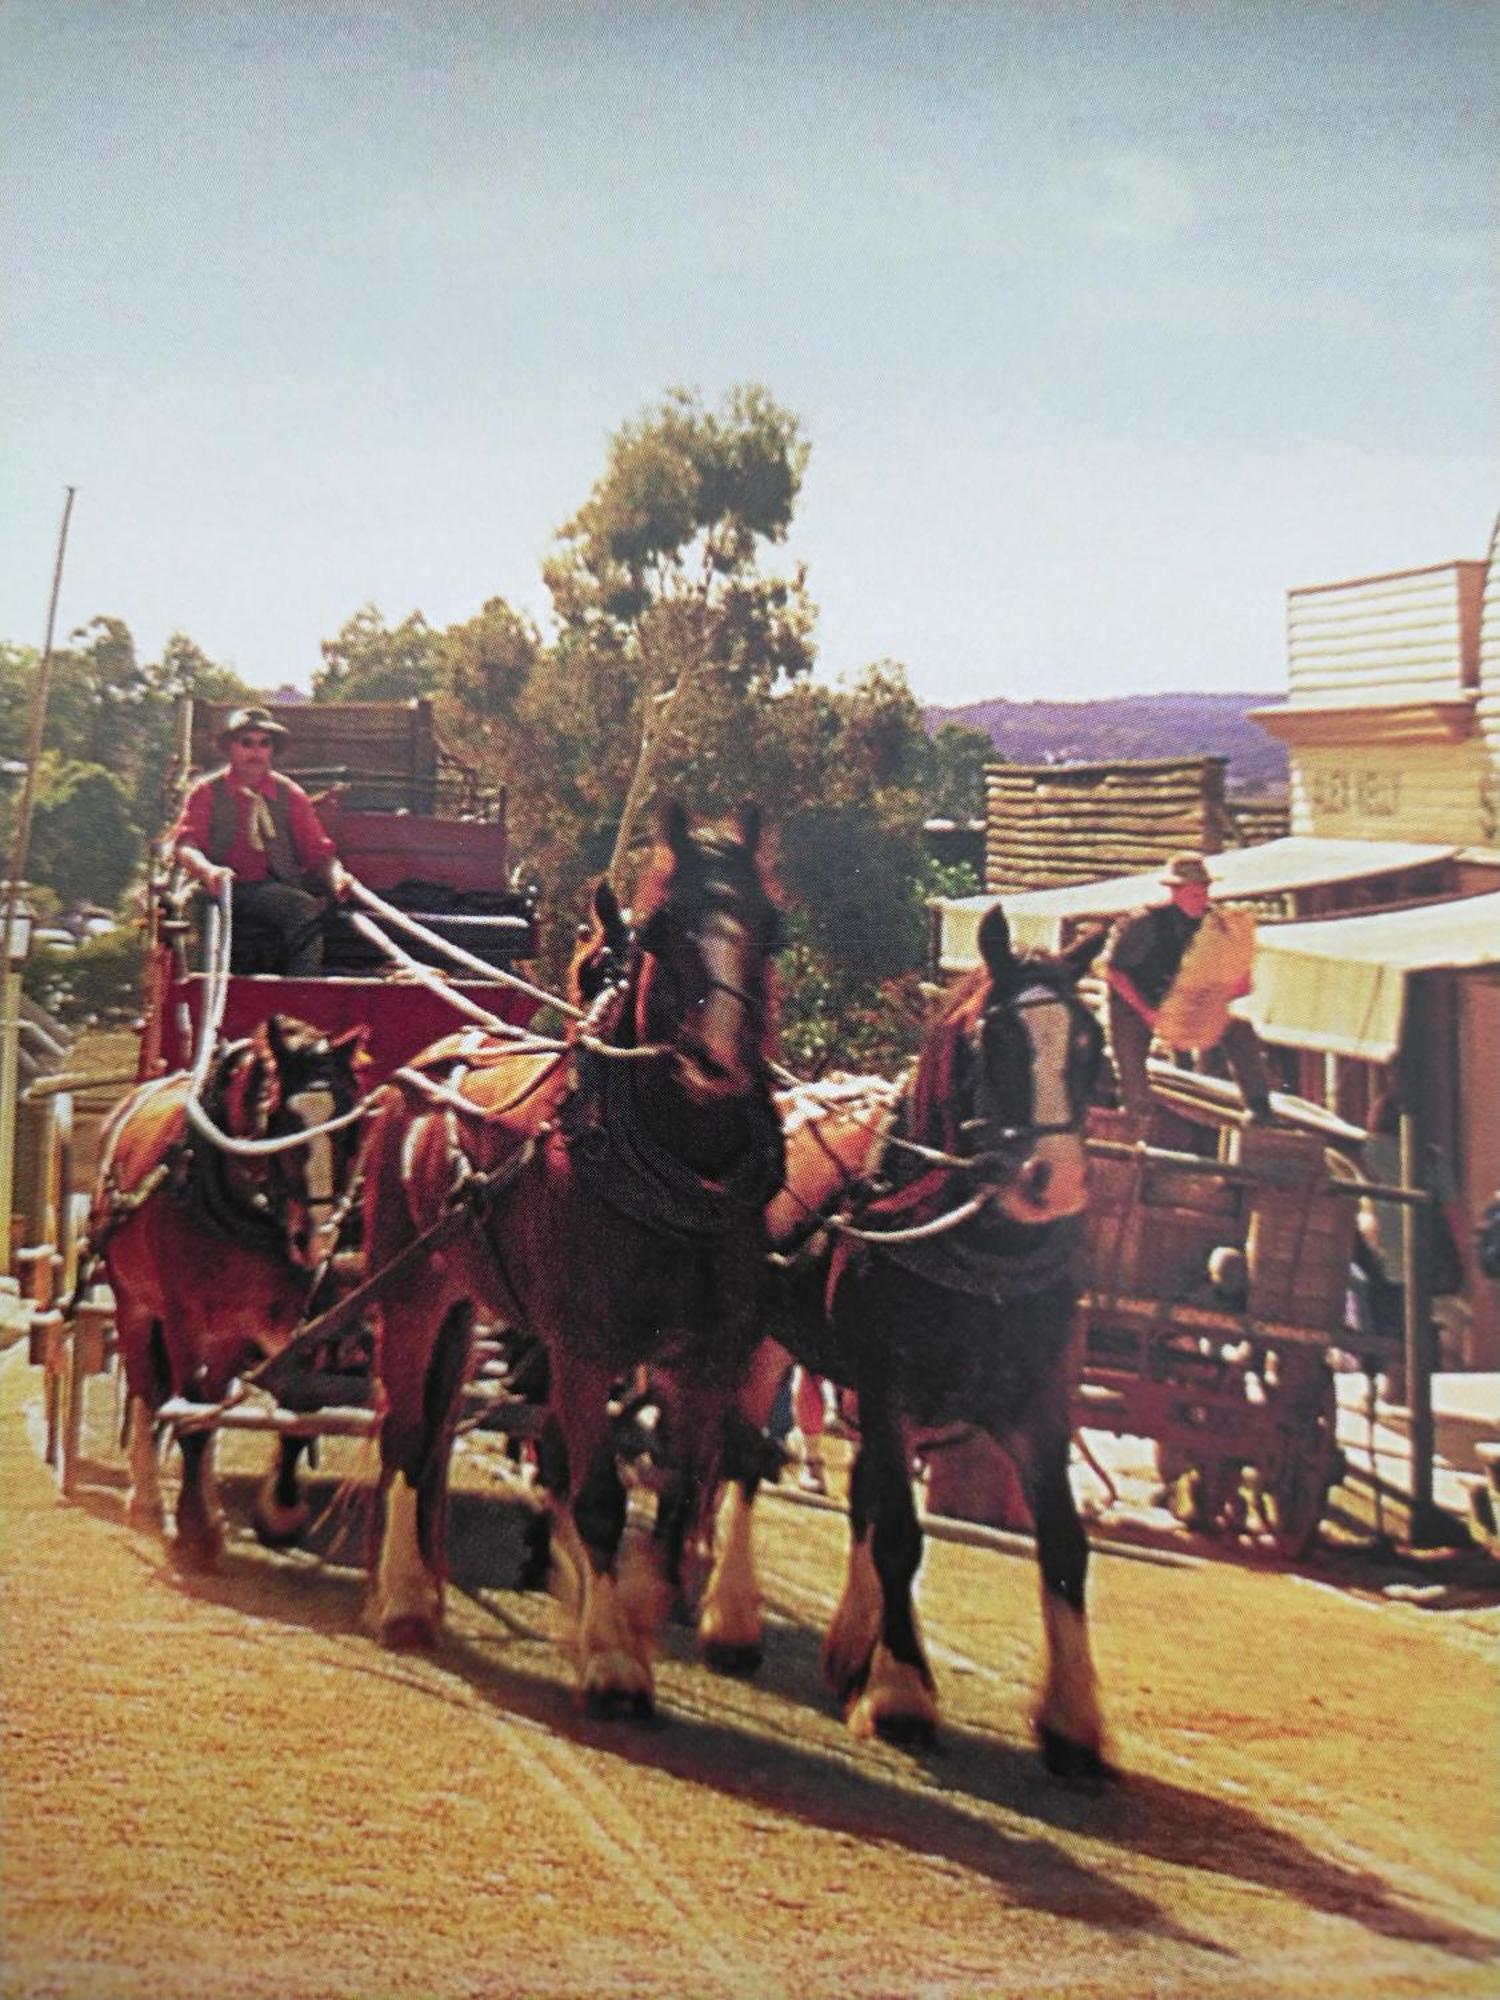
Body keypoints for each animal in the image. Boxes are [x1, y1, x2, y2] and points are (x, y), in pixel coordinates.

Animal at [92, 1024, 370, 1568]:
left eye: (349, 1126)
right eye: (281, 1122)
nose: (320, 1241)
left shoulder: (277, 1320)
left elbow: (297, 1403)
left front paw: (279, 1511)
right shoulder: (184, 1320)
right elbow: (190, 1415)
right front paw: (194, 1533)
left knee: (214, 1398)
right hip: (135, 1306)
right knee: (148, 1391)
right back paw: (148, 1501)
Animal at [368, 804, 788, 1712]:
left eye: (772, 928)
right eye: (664, 928)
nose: (718, 1057)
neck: (681, 1176)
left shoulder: (706, 1359)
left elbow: (679, 1497)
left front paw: (644, 1610)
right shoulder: (585, 1351)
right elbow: (596, 1497)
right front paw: (610, 1656)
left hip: (459, 1297)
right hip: (409, 1289)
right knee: (408, 1436)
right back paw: (406, 1597)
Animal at [700, 916, 1112, 1776]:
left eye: (1090, 1044)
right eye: (998, 1038)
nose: (1053, 1181)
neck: (979, 1249)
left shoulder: (1034, 1405)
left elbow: (1063, 1545)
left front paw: (1073, 1722)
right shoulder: (887, 1385)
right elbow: (898, 1532)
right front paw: (900, 1693)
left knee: (855, 1491)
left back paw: (849, 1645)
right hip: (763, 1345)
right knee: (745, 1455)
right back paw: (733, 1618)